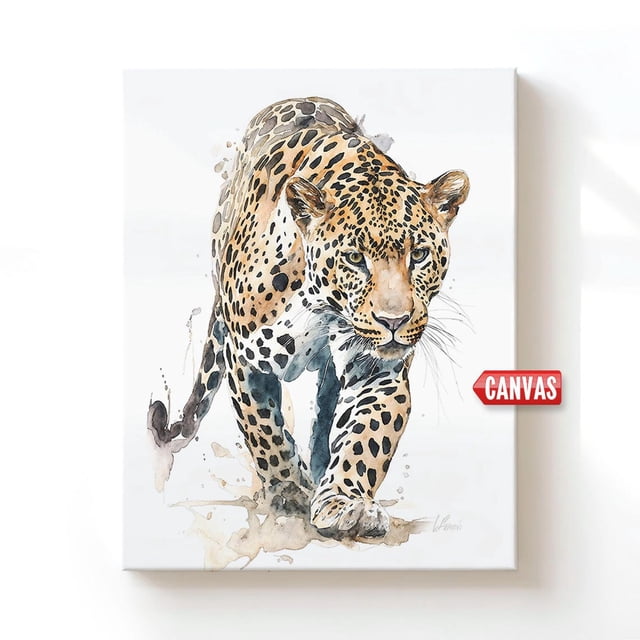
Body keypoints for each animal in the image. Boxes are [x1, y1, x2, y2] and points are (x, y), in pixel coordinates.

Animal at [147, 96, 469, 540]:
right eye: (354, 258)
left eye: (418, 254)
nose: (394, 321)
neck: (322, 306)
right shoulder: (243, 358)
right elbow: (264, 430)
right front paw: (287, 492)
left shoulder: (378, 371)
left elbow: (366, 436)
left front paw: (344, 501)